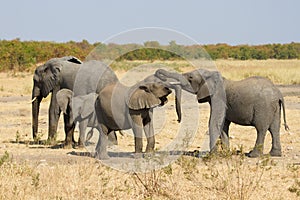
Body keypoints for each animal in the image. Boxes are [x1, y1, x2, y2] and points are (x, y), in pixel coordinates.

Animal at [156, 69, 290, 158]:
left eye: (190, 78)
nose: (179, 120)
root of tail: (279, 93)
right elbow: (223, 125)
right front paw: (226, 153)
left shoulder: (218, 97)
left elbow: (214, 122)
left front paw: (212, 155)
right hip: (274, 107)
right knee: (274, 128)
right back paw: (275, 154)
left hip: (263, 107)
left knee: (261, 129)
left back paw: (253, 155)